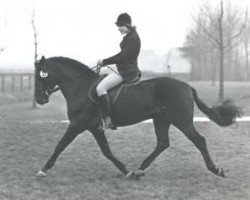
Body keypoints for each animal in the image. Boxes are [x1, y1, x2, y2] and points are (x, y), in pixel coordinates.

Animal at [34, 55, 240, 179]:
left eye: (41, 76)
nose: (40, 99)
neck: (81, 88)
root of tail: (187, 86)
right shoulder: (94, 128)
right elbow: (106, 151)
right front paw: (127, 171)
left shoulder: (78, 125)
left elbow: (60, 145)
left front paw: (43, 170)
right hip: (162, 120)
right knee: (163, 143)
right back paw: (140, 170)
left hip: (182, 121)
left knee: (199, 140)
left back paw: (216, 169)